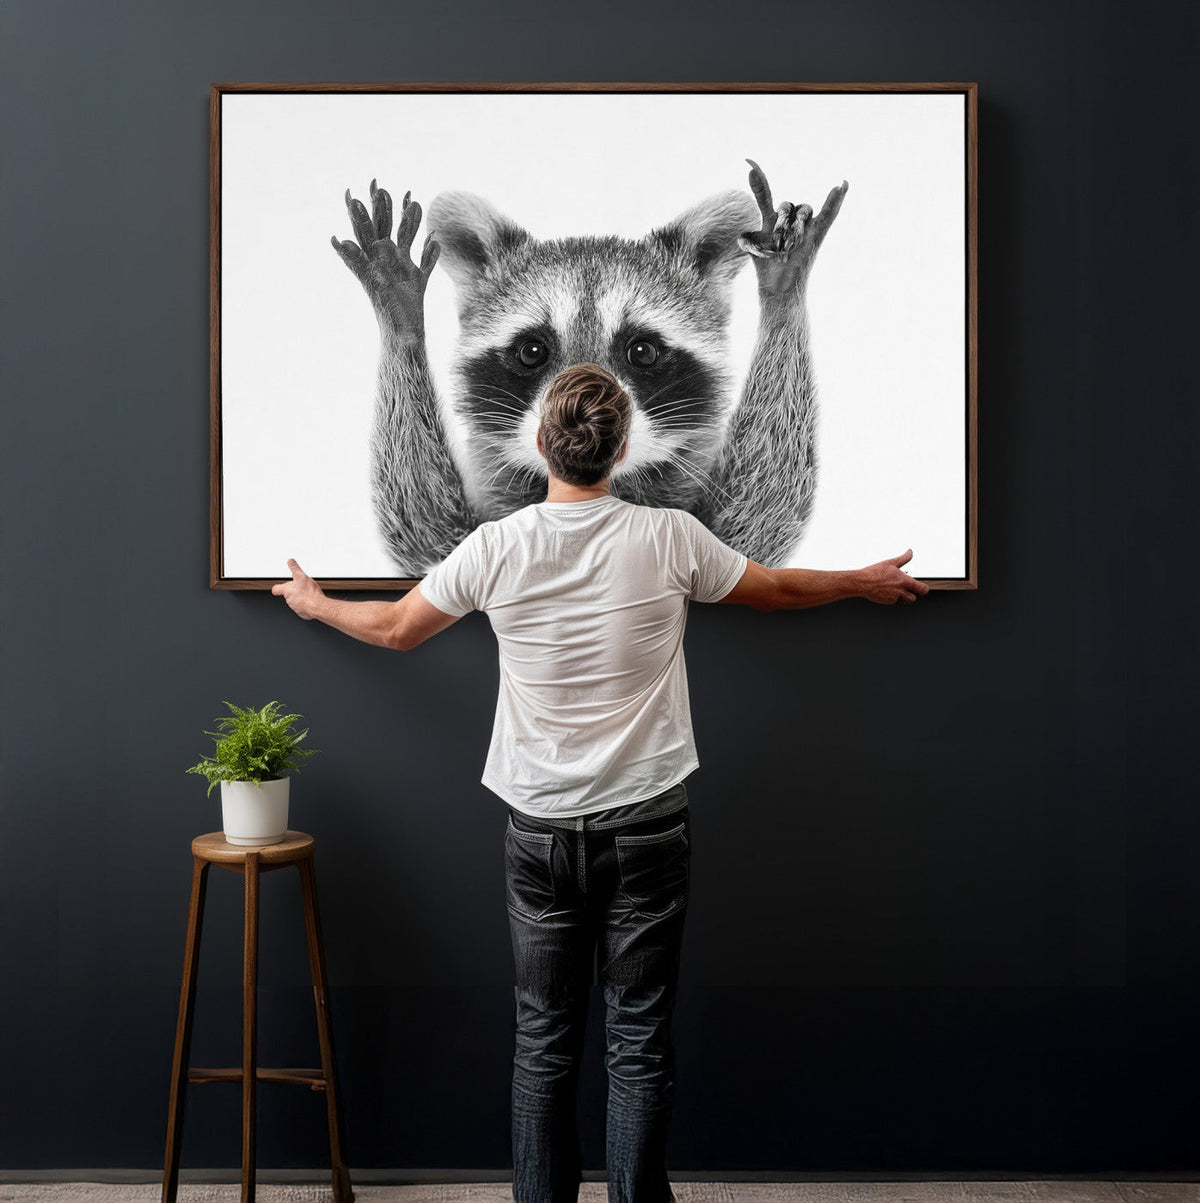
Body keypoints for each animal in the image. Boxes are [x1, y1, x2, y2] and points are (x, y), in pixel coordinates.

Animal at [331, 161, 848, 577]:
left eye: (643, 352)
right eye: (531, 351)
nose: (582, 418)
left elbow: (761, 517)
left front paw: (783, 289)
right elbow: (425, 537)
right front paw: (400, 314)